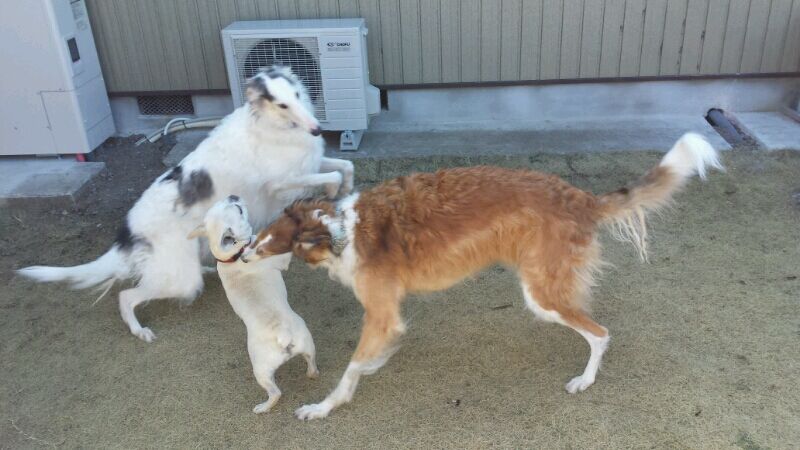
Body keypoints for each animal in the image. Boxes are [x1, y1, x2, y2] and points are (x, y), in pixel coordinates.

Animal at [17, 65, 354, 342]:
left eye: (296, 95)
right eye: (282, 104)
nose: (317, 129)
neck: (272, 125)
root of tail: (128, 233)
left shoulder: (308, 163)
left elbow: (345, 165)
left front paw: (347, 191)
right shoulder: (281, 182)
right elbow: (334, 175)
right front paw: (335, 195)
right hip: (180, 279)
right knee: (126, 296)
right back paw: (140, 330)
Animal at [188, 196, 318, 413]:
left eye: (228, 202)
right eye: (239, 210)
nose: (233, 196)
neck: (230, 256)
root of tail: (282, 334)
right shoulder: (278, 258)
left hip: (305, 343)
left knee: (310, 362)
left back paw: (311, 374)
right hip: (262, 368)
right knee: (276, 392)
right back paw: (264, 407)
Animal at [246, 133, 723, 420]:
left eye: (264, 241)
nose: (240, 251)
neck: (339, 228)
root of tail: (581, 197)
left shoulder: (383, 315)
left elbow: (353, 368)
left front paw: (322, 407)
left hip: (542, 295)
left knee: (601, 333)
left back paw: (584, 381)